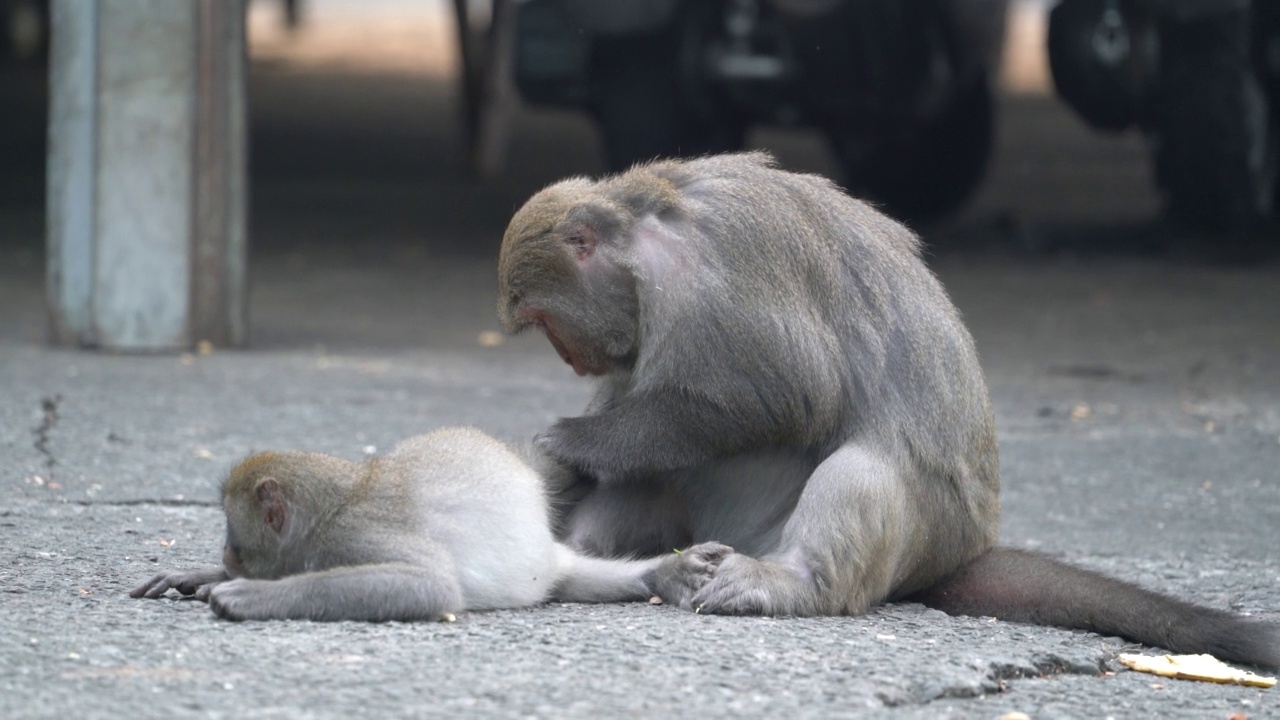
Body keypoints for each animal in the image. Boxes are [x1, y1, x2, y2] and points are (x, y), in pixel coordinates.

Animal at [131, 425, 670, 617]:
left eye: (231, 528)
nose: (225, 552)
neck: (328, 512)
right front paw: (201, 575)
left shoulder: (353, 536)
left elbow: (431, 586)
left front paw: (250, 596)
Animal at [496, 151, 1280, 666]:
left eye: (543, 320)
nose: (571, 358)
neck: (644, 234)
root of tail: (962, 550)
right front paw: (564, 466)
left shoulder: (720, 275)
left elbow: (785, 395)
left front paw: (571, 442)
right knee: (657, 474)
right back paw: (597, 558)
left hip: (913, 535)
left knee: (863, 467)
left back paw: (793, 583)